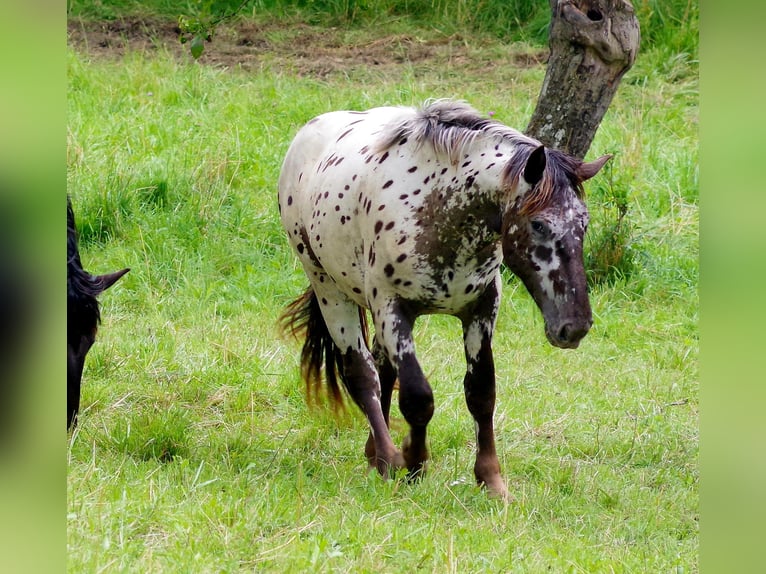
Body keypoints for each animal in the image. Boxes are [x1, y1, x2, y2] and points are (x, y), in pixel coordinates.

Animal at [278, 100, 612, 500]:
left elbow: (481, 393)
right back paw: (387, 458)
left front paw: (491, 480)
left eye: (584, 224)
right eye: (540, 225)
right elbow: (418, 397)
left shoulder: (481, 309)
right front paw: (414, 464)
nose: (574, 327)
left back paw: (375, 455)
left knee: (382, 369)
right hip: (330, 290)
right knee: (363, 374)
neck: (438, 209)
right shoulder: (393, 309)